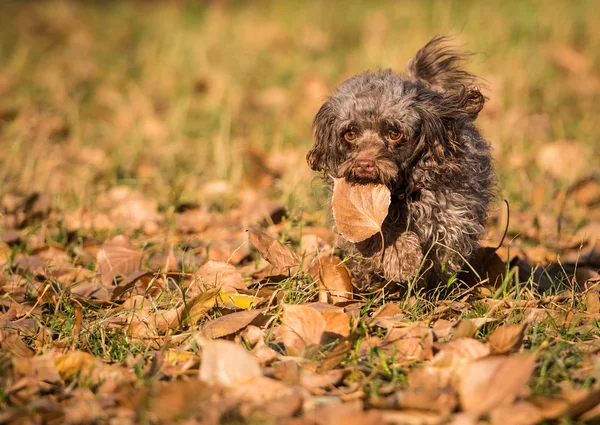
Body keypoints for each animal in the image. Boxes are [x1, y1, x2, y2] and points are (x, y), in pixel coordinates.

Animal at [308, 37, 494, 288]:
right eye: (350, 133)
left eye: (394, 133)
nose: (364, 164)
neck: (402, 193)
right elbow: (381, 234)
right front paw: (401, 259)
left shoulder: (453, 220)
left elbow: (443, 252)